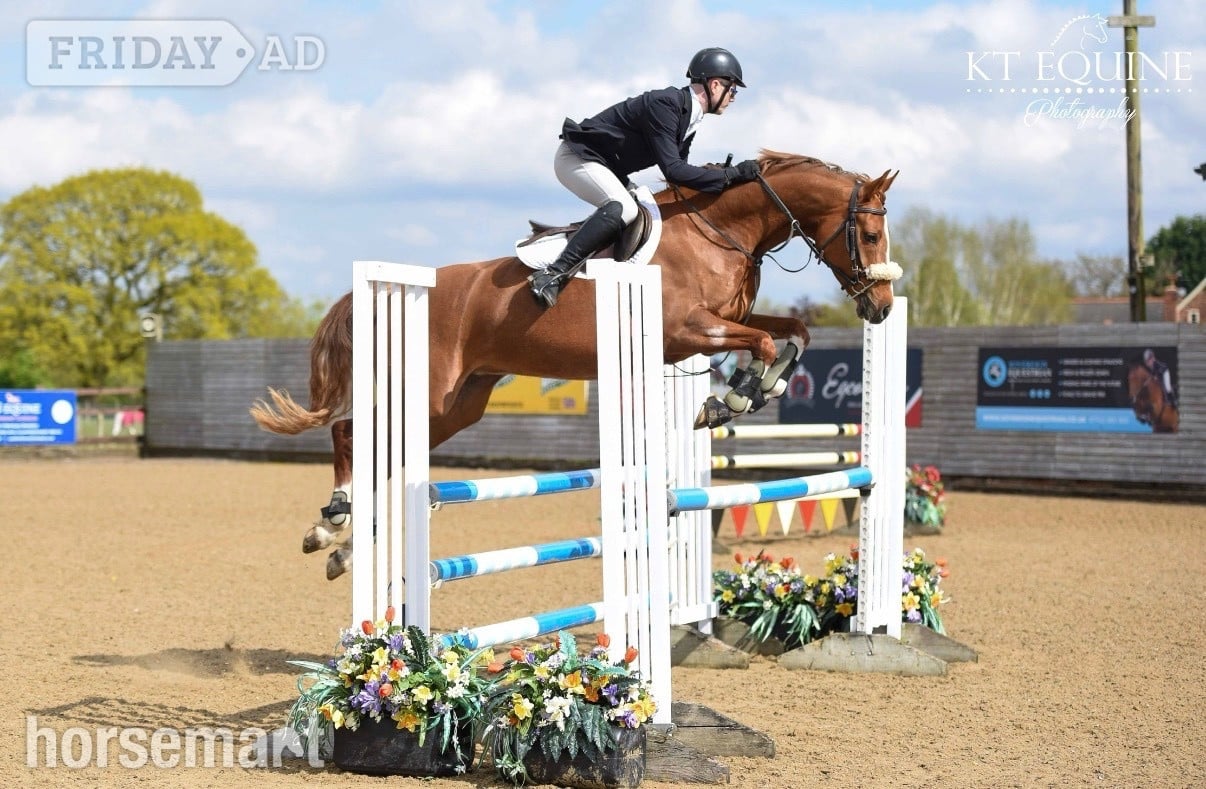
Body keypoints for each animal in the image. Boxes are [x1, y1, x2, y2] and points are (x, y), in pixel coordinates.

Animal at [250, 150, 901, 578]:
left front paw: (737, 396)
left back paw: (343, 543)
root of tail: (396, 289)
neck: (721, 230)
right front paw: (731, 398)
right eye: (871, 235)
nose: (883, 307)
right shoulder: (685, 330)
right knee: (349, 431)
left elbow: (793, 334)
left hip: (460, 404)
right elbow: (764, 344)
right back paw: (333, 519)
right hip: (428, 390)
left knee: (387, 455)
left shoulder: (717, 324)